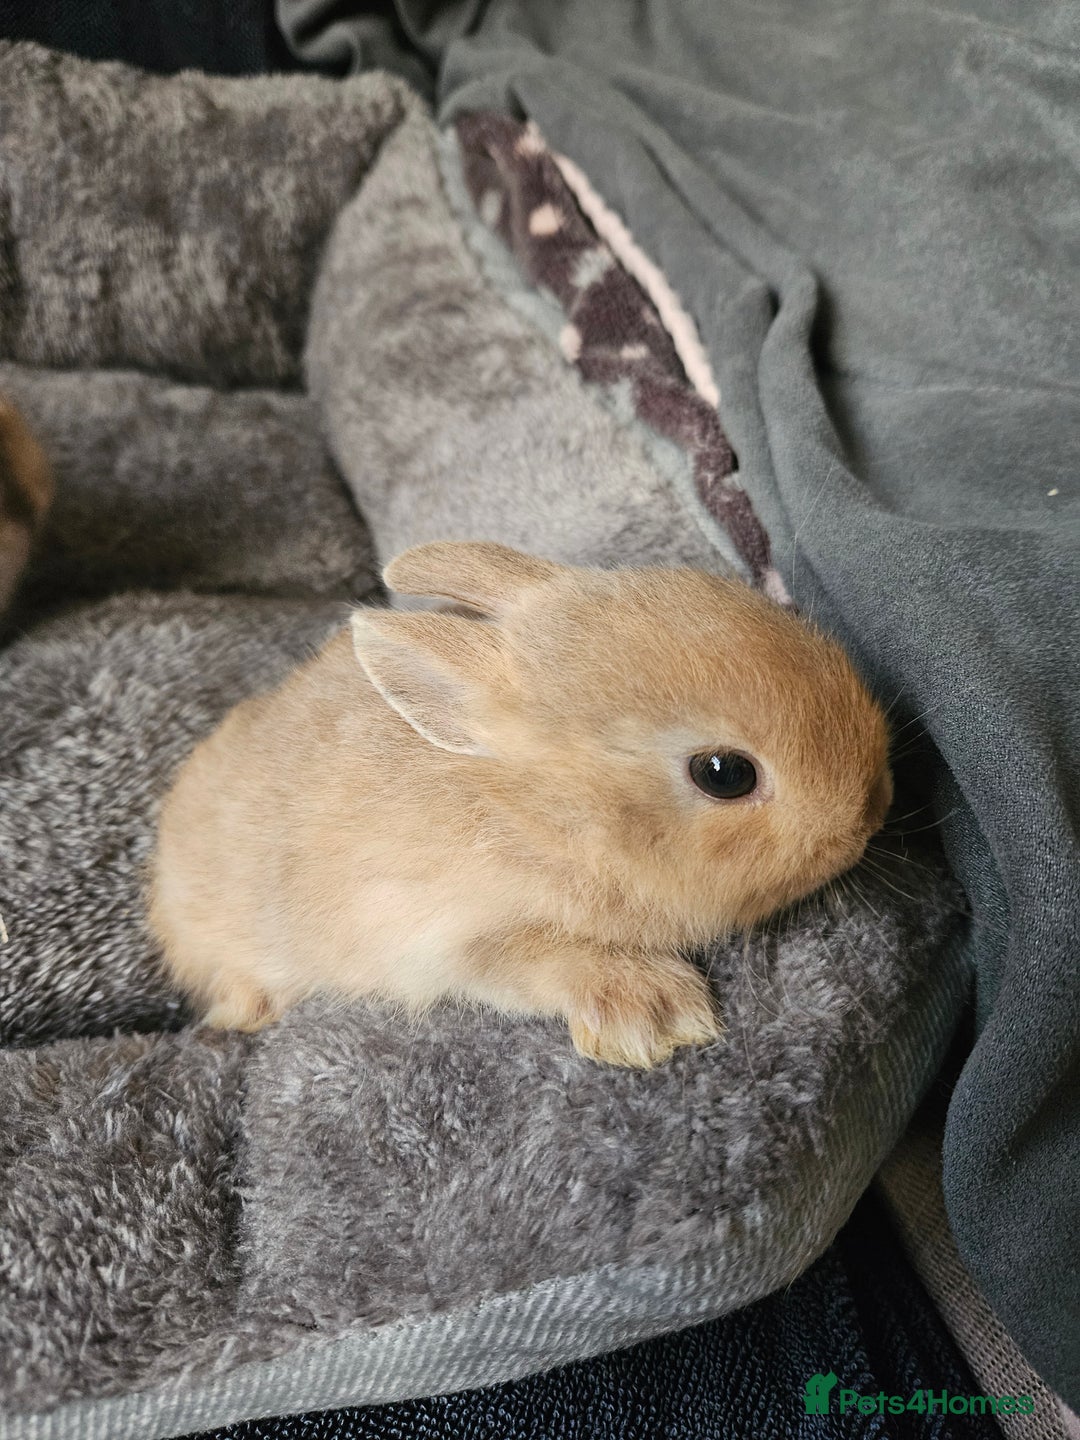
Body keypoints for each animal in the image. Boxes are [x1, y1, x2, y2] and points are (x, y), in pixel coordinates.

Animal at [149, 541, 892, 1068]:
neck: (551, 815)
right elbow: (551, 962)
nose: (871, 811)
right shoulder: (464, 934)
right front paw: (655, 1016)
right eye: (725, 775)